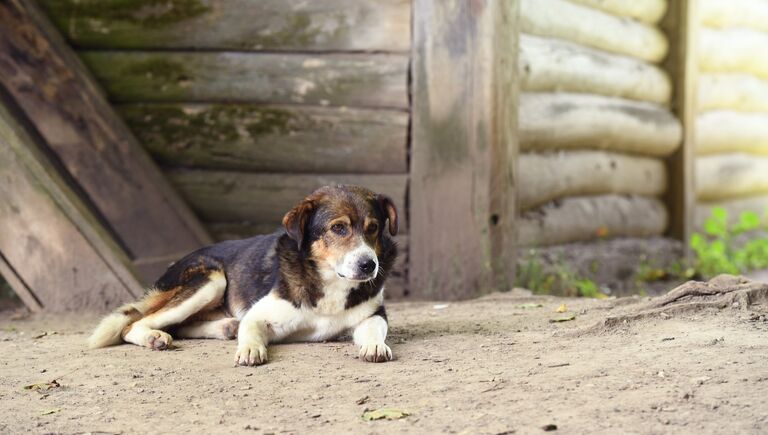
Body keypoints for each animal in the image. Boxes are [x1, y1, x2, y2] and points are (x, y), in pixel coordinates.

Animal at [90, 186, 400, 366]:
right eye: (338, 228)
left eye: (373, 228)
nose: (368, 265)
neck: (330, 280)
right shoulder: (257, 313)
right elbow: (250, 330)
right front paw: (250, 350)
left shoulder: (374, 314)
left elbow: (374, 329)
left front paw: (375, 345)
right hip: (211, 279)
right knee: (134, 324)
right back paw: (154, 337)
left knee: (180, 326)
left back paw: (225, 327)